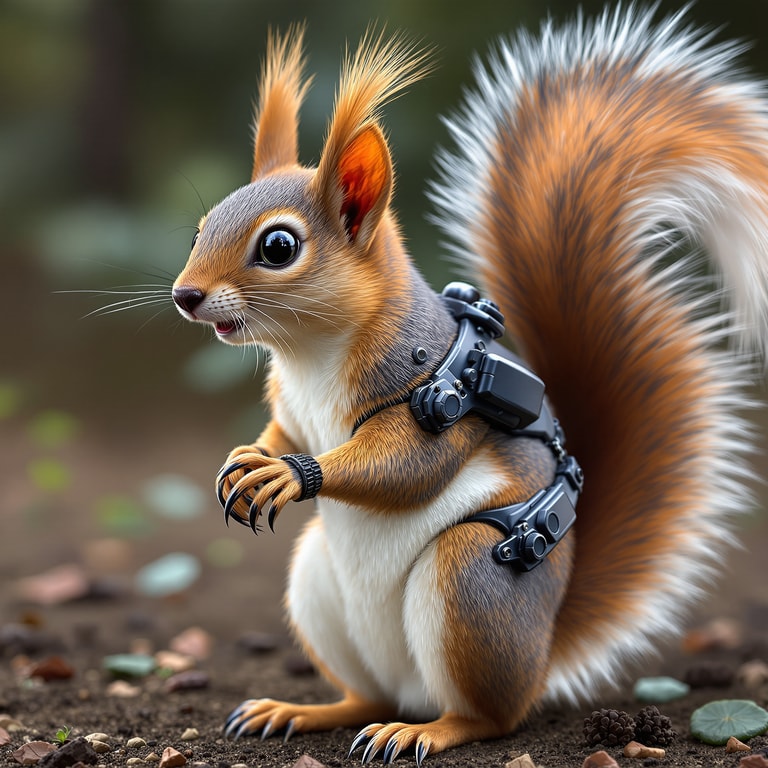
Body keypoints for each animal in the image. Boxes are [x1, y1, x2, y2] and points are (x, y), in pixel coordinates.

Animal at [171, 8, 768, 764]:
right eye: (201, 225)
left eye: (278, 247)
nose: (185, 296)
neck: (308, 355)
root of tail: (542, 656)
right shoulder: (294, 410)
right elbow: (282, 433)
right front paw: (248, 459)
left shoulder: (437, 396)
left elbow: (401, 466)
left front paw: (289, 475)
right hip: (317, 586)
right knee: (366, 697)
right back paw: (303, 711)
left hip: (471, 581)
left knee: (487, 717)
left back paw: (423, 731)